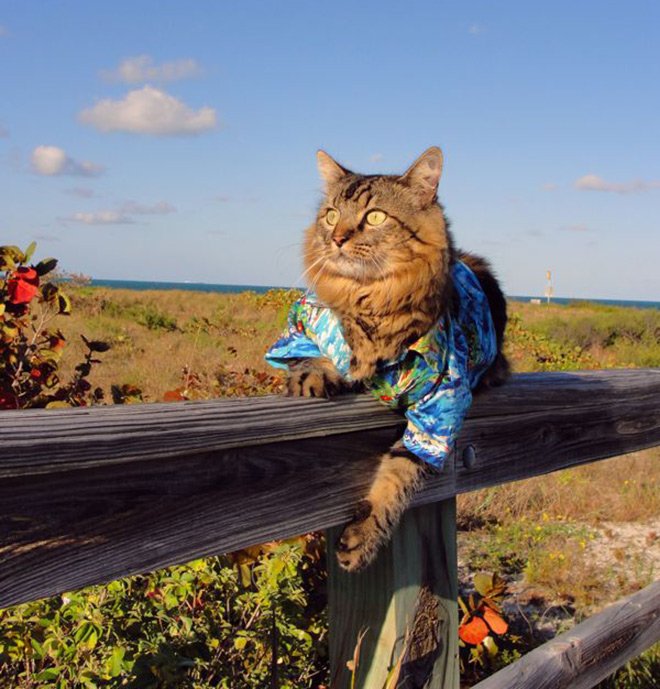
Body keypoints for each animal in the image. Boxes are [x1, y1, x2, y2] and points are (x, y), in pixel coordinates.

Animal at [268, 148, 510, 572]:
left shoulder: (439, 411)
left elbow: (399, 472)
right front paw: (312, 377)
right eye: (331, 214)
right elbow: (311, 356)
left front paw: (362, 539)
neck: (371, 301)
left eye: (375, 217)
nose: (337, 238)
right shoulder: (303, 323)